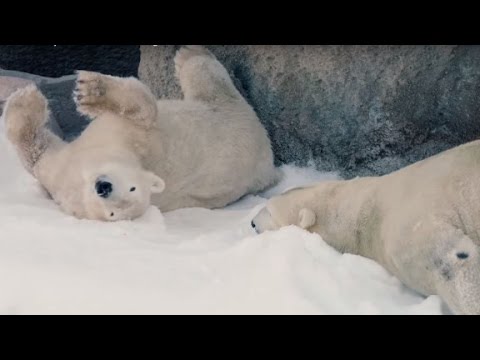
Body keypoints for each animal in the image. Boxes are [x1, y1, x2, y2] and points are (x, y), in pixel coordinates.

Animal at [3, 46, 280, 221]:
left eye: (133, 189)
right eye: (111, 213)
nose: (104, 187)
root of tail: (266, 170)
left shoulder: (144, 141)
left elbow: (146, 109)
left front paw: (91, 90)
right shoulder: (59, 174)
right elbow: (36, 152)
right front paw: (24, 102)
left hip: (234, 119)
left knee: (211, 82)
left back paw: (190, 53)